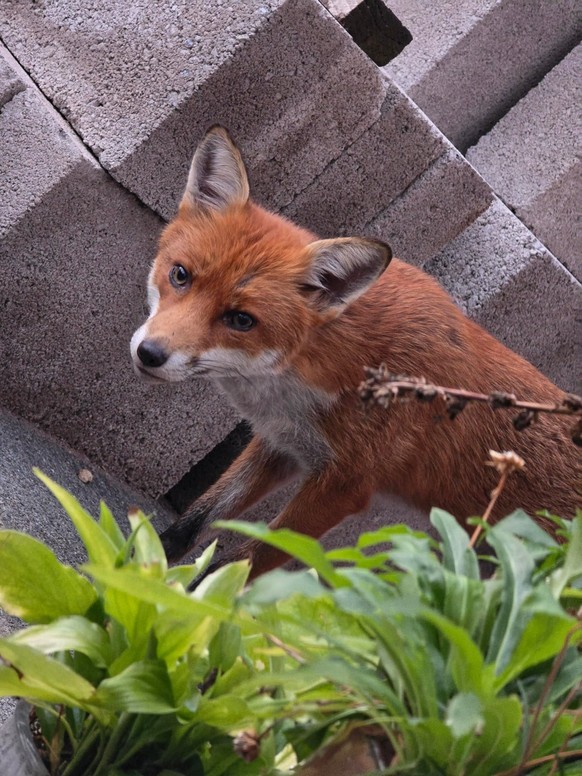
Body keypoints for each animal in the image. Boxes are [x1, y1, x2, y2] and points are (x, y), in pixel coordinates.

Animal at [131, 126, 580, 578]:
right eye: (181, 275)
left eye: (241, 320)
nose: (149, 353)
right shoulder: (283, 442)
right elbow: (191, 524)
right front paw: (134, 571)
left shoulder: (344, 487)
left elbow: (241, 563)